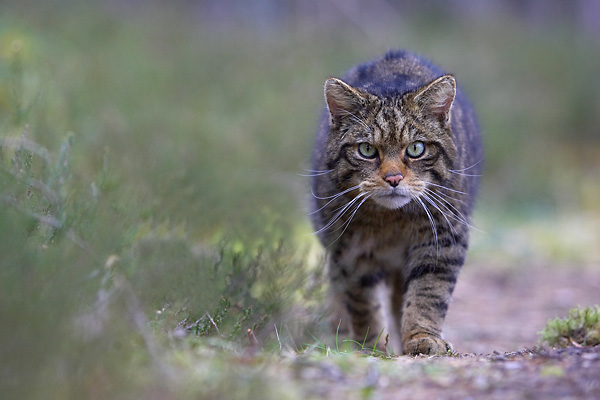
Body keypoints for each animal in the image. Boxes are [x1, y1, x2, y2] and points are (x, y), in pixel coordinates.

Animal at [310, 50, 482, 356]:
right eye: (367, 150)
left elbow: (427, 295)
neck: (392, 220)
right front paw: (372, 345)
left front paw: (421, 337)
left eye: (416, 149)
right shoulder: (351, 251)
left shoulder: (442, 241)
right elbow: (363, 305)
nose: (393, 178)